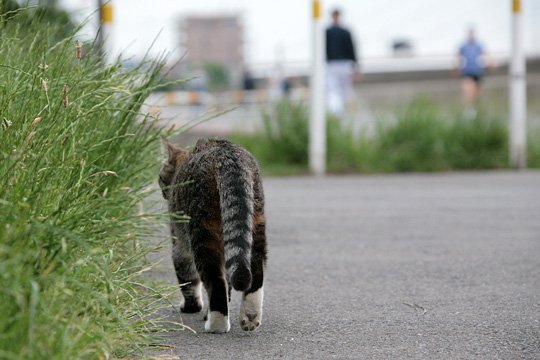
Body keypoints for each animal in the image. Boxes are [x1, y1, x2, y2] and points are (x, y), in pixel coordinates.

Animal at [158, 137, 268, 332]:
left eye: (160, 177)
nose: (163, 190)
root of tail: (227, 155)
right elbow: (228, 285)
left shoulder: (179, 240)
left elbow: (187, 278)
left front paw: (192, 307)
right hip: (255, 224)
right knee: (254, 271)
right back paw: (250, 316)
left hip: (202, 231)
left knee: (214, 280)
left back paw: (216, 325)